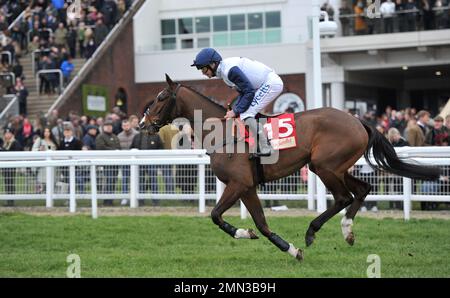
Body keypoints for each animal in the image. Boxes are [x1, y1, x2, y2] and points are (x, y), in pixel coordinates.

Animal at [141, 74, 440, 260]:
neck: (223, 132)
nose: (143, 124)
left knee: (344, 197)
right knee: (363, 189)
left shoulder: (239, 183)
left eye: (161, 97)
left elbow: (216, 215)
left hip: (324, 166)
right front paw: (287, 248)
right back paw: (347, 231)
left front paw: (275, 242)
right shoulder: (247, 187)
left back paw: (312, 231)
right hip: (337, 167)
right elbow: (260, 224)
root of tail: (358, 121)